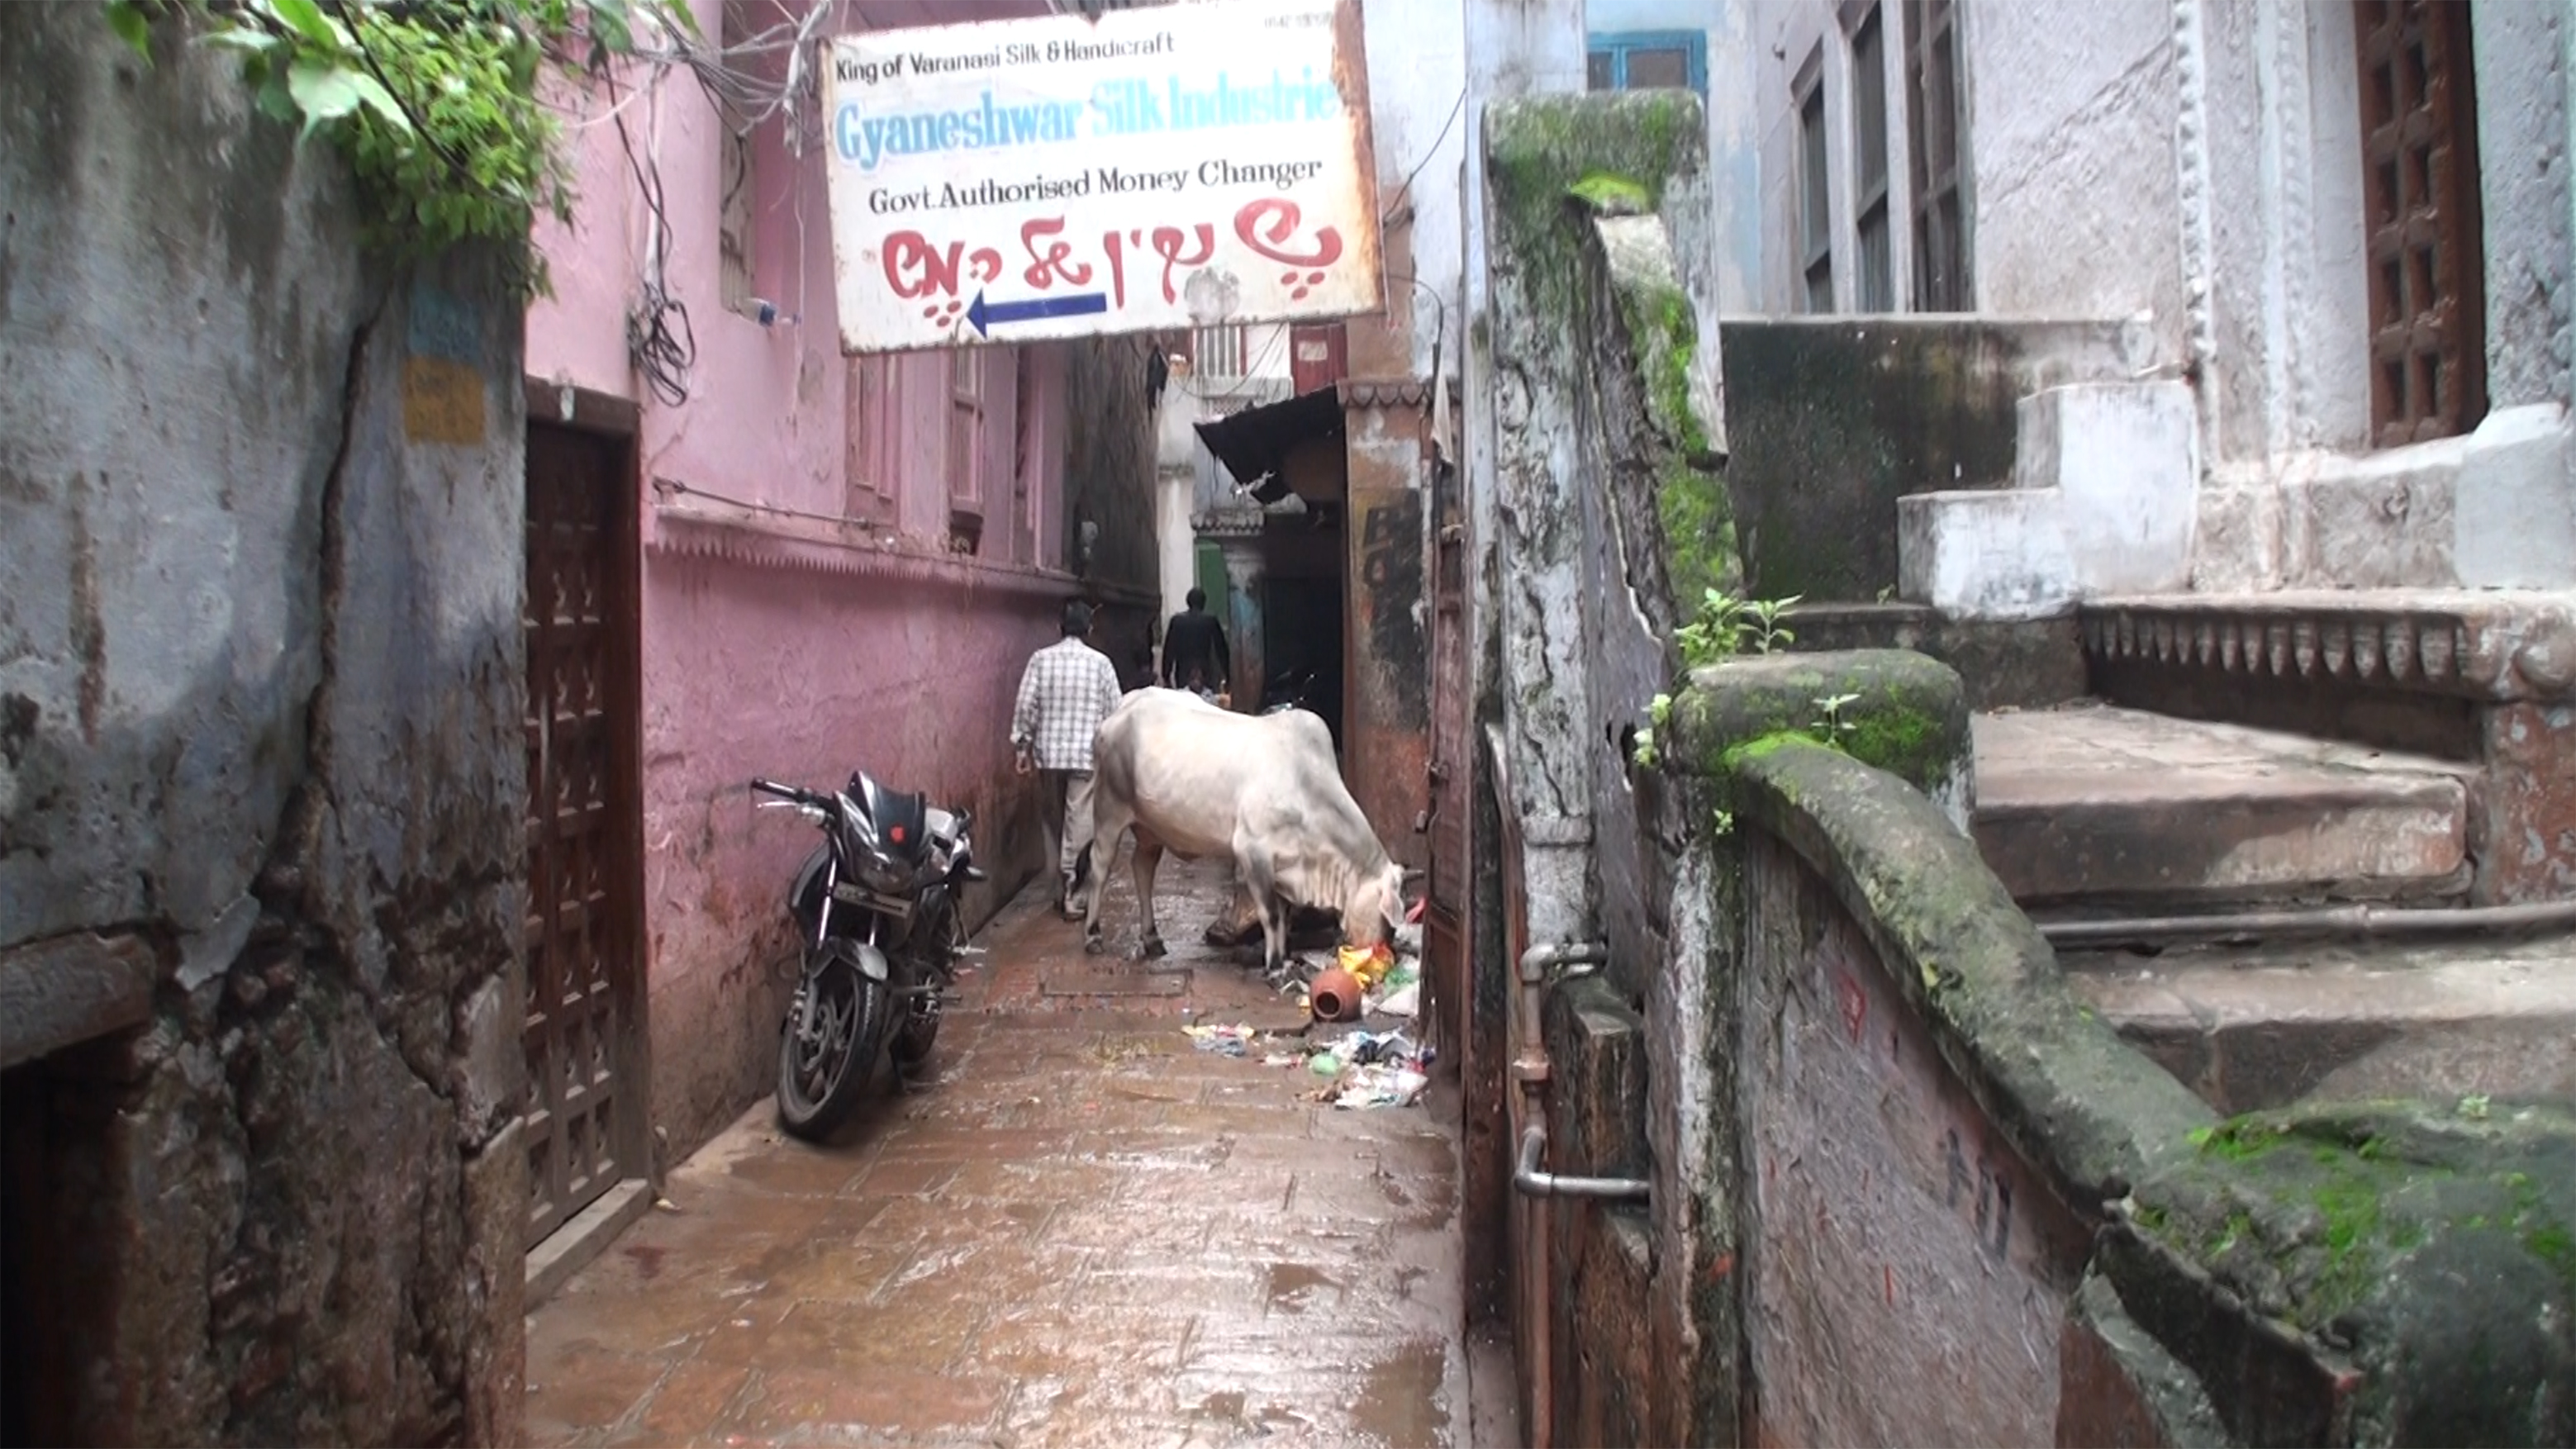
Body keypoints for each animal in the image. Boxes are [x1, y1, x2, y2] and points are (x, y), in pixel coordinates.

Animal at [1086, 689, 1411, 972]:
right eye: (1387, 920)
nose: (1384, 954)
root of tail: (1125, 705)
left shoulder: (1283, 866)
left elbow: (1284, 916)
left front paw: (1284, 957)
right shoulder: (1252, 852)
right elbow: (1271, 914)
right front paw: (1276, 967)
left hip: (1150, 828)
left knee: (1142, 869)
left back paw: (1152, 938)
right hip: (1109, 810)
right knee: (1099, 868)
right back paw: (1093, 934)